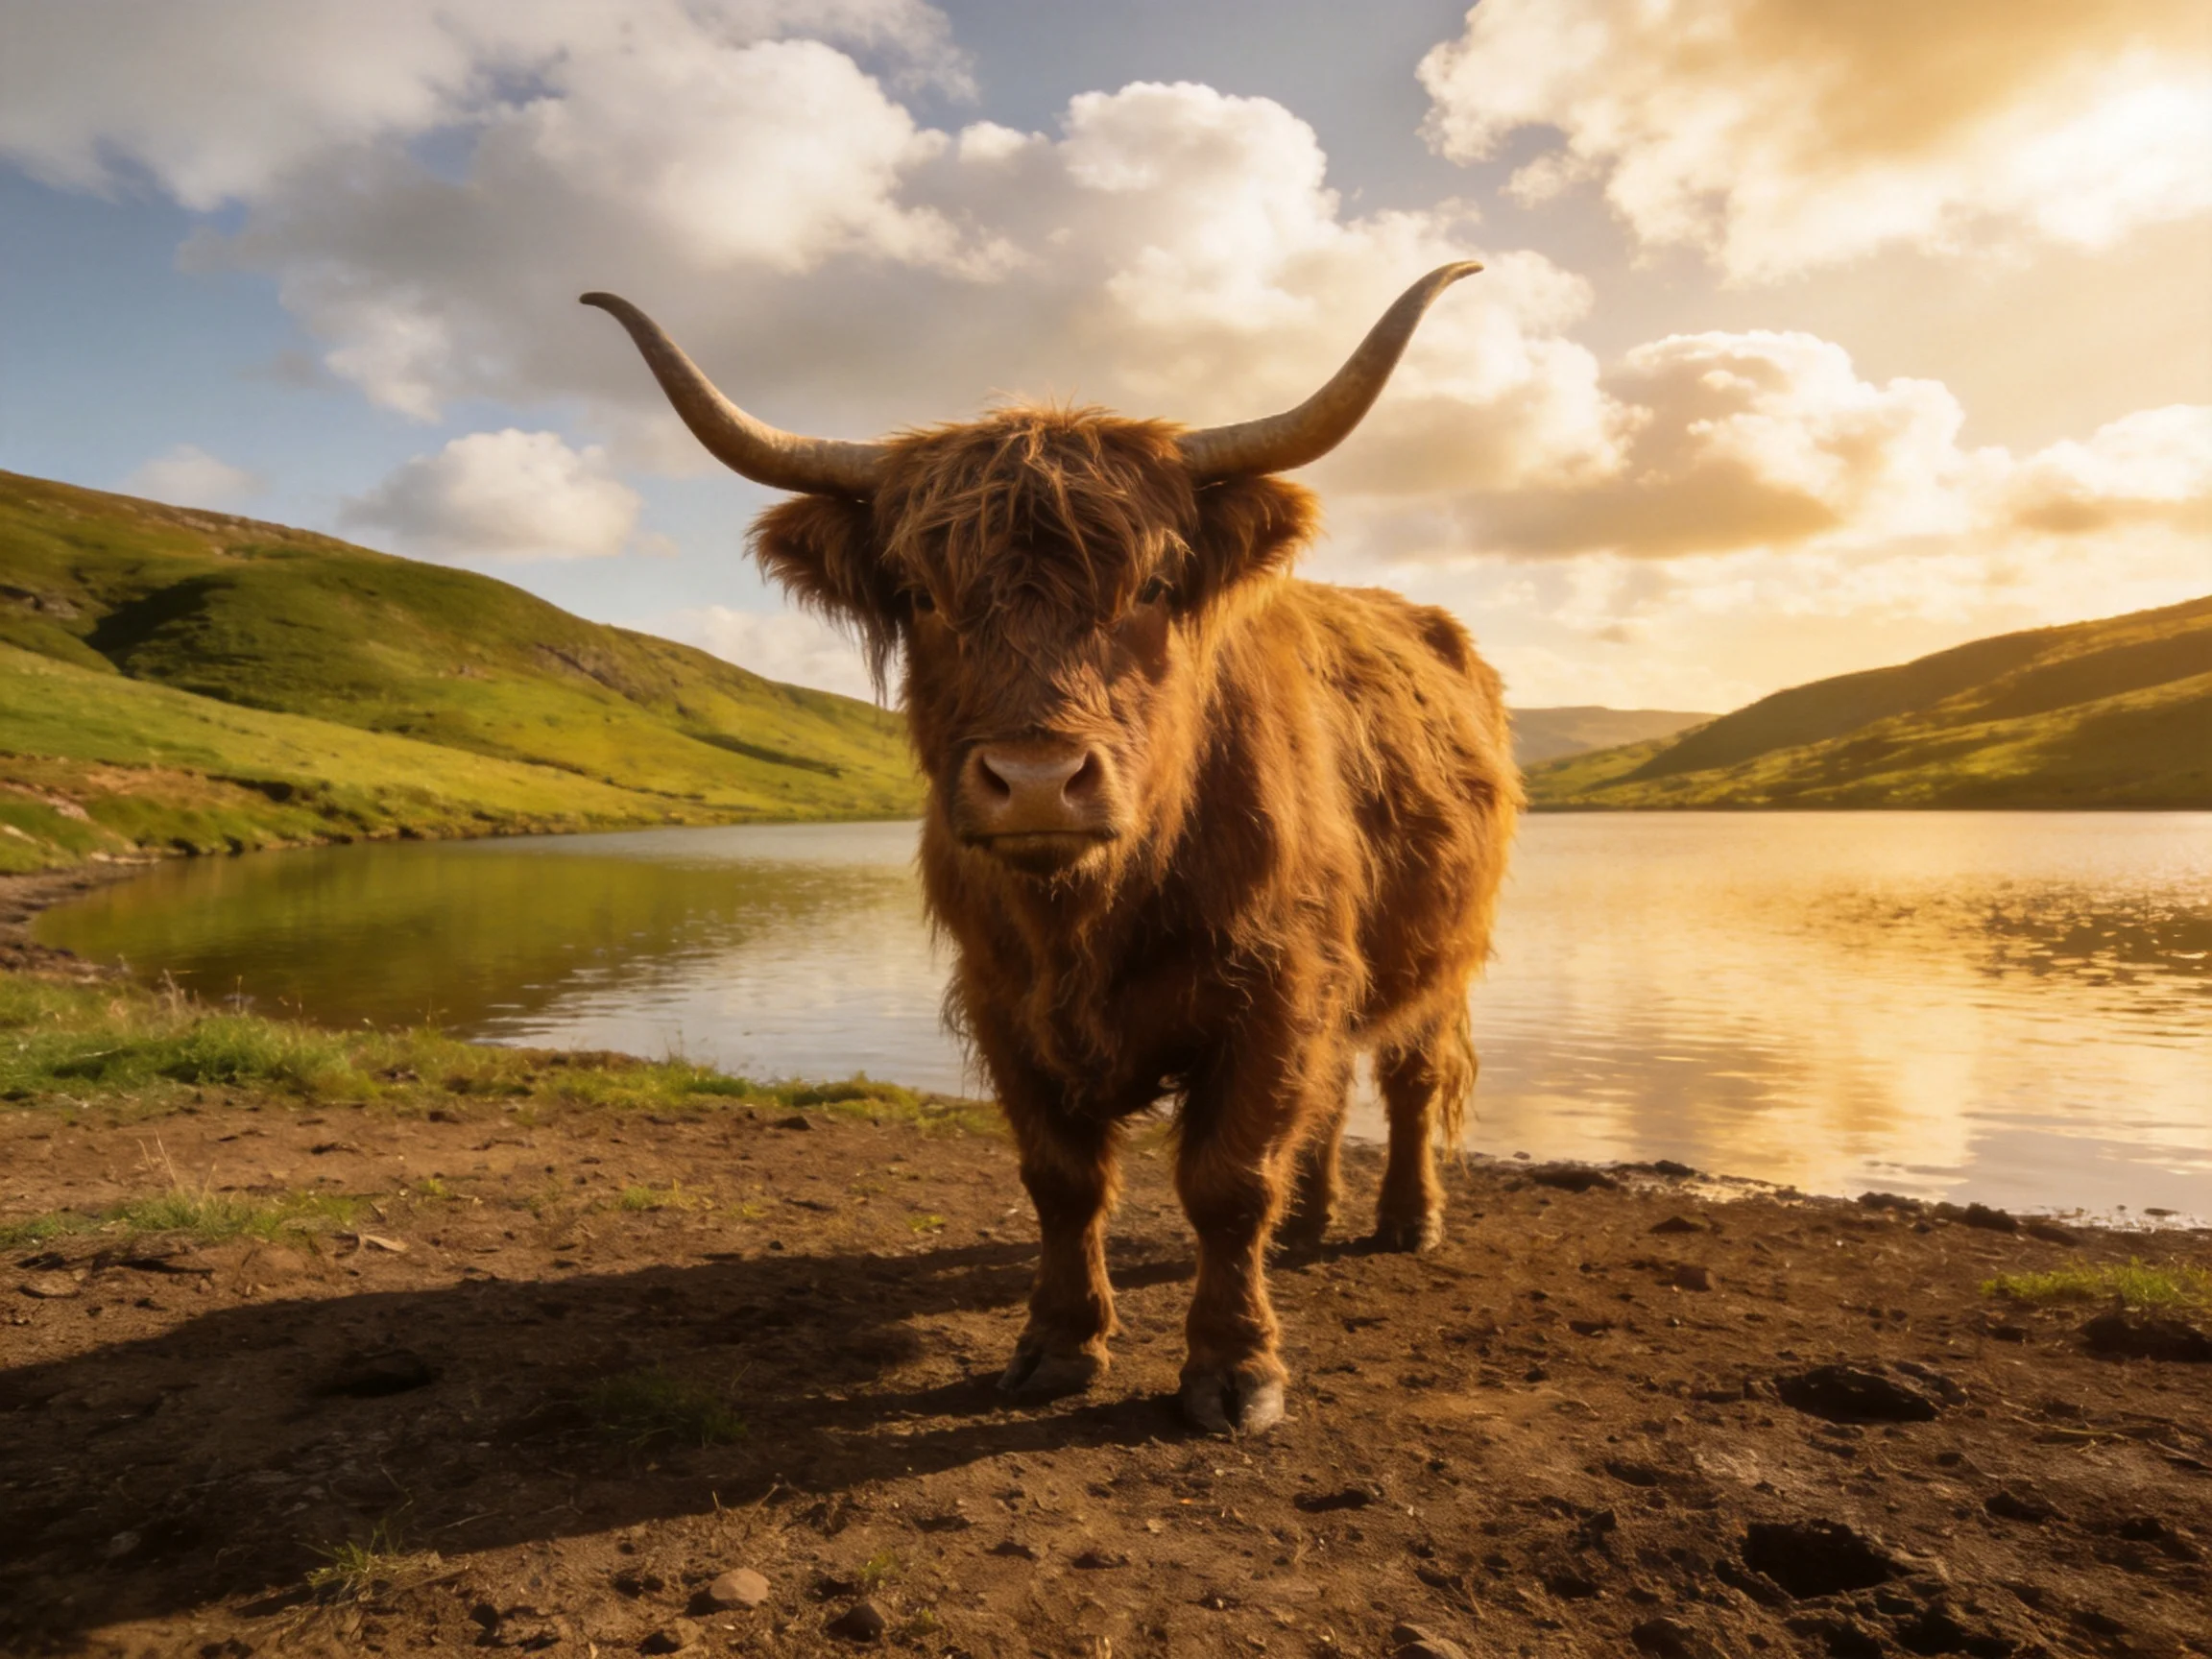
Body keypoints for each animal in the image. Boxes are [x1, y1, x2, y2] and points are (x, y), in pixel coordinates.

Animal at [584, 264, 1521, 1433]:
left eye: (1155, 587)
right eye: (922, 594)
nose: (1037, 780)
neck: (1090, 908)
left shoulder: (1277, 985)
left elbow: (1229, 1180)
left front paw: (1235, 1370)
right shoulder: (1005, 1001)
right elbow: (1063, 1180)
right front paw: (1059, 1345)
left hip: (1442, 954)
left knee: (1408, 1076)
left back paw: (1406, 1220)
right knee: (1334, 1094)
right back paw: (1312, 1223)